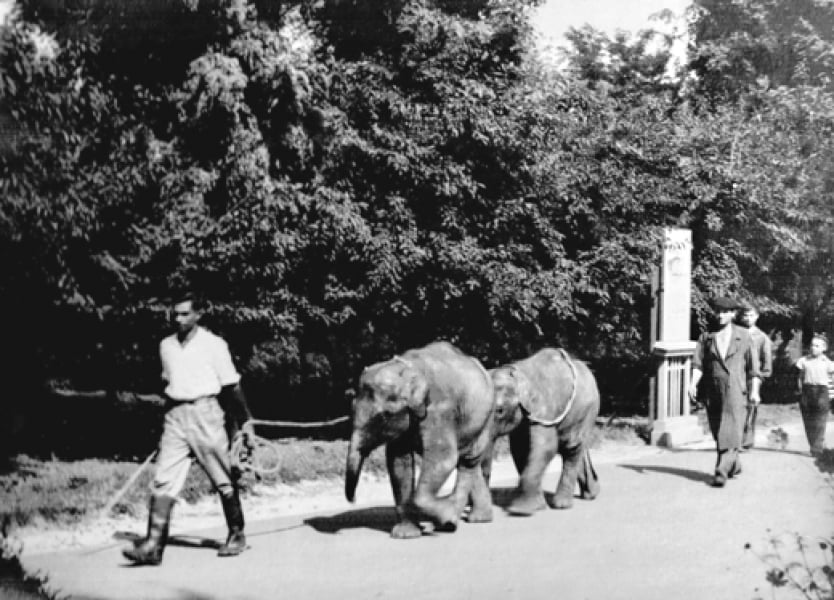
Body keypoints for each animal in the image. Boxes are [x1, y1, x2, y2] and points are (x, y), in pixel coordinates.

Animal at [344, 342, 494, 540]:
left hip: (486, 417)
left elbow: (443, 459)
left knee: (468, 460)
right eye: (351, 409)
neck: (407, 368)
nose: (354, 500)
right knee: (468, 460)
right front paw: (406, 534)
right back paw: (474, 518)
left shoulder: (439, 410)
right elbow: (399, 462)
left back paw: (450, 522)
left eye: (384, 416)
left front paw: (442, 518)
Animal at [488, 346, 600, 516]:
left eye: (500, 411)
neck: (516, 372)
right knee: (576, 447)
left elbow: (546, 447)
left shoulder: (543, 408)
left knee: (572, 446)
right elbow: (521, 450)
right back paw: (591, 493)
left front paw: (519, 510)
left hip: (588, 409)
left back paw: (562, 505)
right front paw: (538, 506)